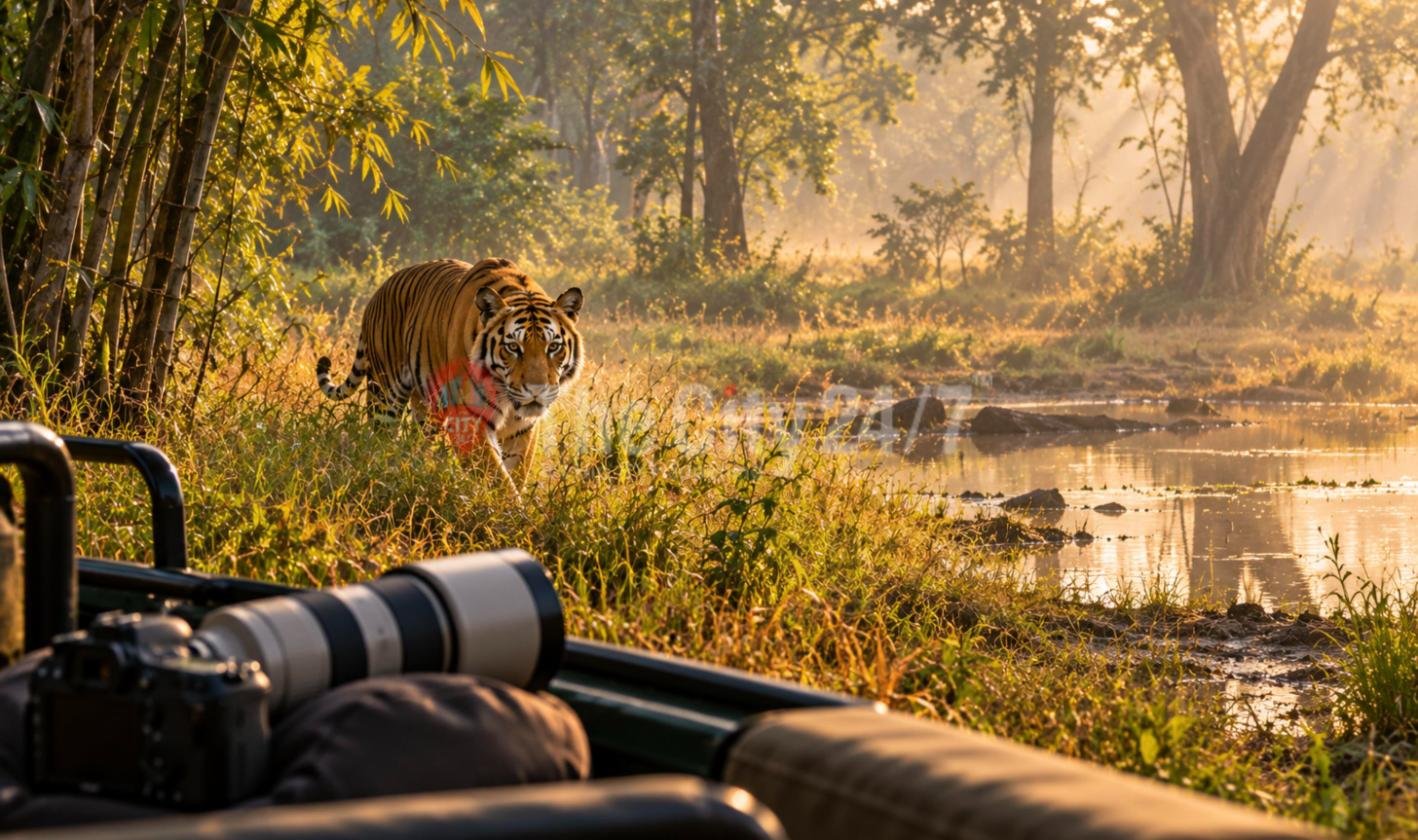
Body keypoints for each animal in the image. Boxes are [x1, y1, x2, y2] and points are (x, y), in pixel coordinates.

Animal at [316, 258, 584, 489]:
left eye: (553, 347)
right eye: (513, 347)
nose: (537, 391)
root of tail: (378, 292)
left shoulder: (523, 426)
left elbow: (516, 472)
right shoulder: (468, 419)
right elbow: (498, 480)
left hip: (426, 407)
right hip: (385, 395)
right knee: (380, 439)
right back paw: (382, 473)